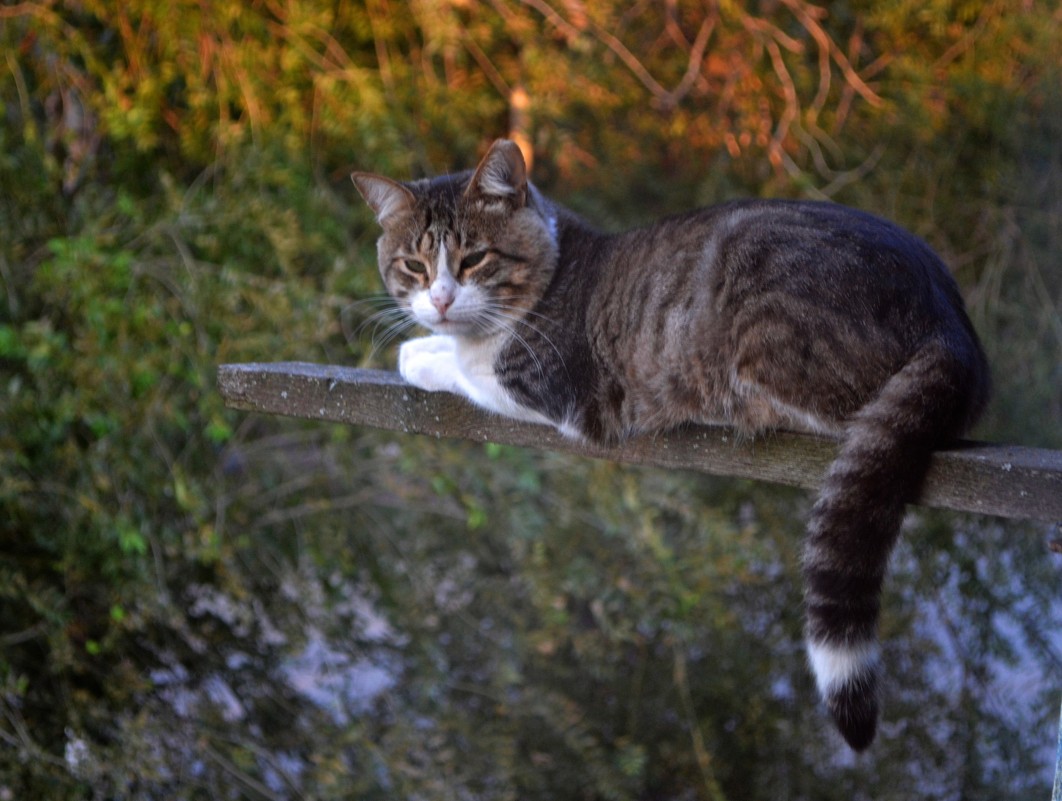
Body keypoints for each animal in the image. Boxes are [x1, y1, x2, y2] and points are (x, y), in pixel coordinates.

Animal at [352, 139, 989, 747]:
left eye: (474, 258)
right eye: (412, 265)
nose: (440, 301)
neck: (551, 273)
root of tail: (949, 328)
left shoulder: (556, 391)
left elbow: (464, 367)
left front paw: (418, 355)